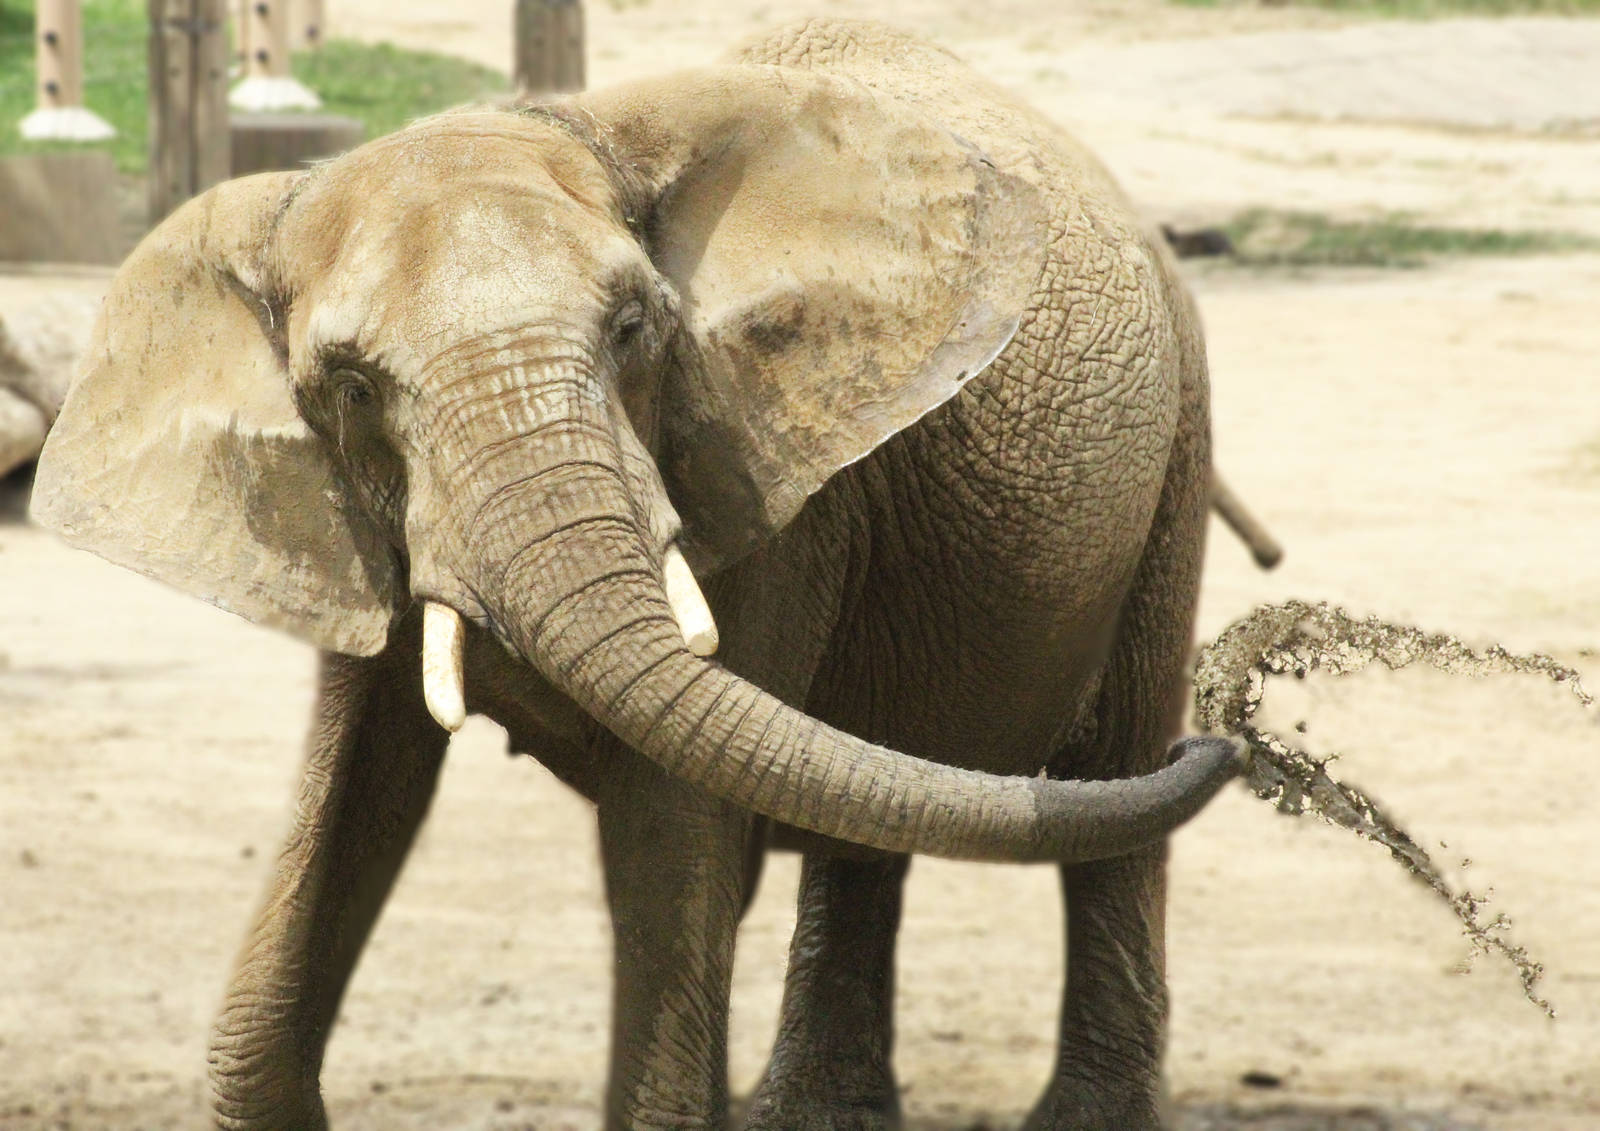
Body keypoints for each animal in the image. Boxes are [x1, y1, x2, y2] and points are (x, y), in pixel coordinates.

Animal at [31, 18, 1248, 1131]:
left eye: (631, 329)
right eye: (351, 388)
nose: (1231, 736)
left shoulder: (765, 486)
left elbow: (672, 838)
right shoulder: (347, 528)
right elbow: (353, 801)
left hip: (1177, 444)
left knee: (1115, 767)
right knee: (884, 805)